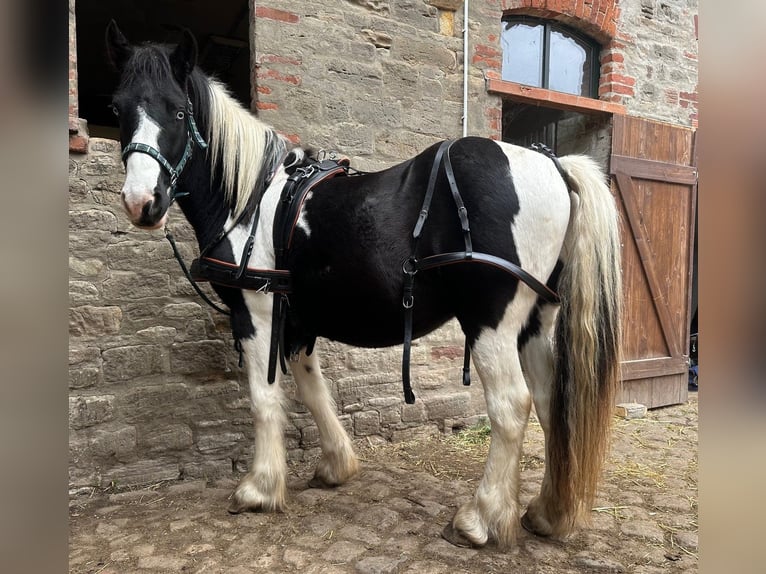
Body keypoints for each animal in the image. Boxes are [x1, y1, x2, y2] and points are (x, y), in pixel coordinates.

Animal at [105, 21, 621, 549]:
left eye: (178, 111)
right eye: (118, 109)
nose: (142, 202)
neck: (249, 199)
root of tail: (554, 166)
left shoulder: (257, 310)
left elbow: (264, 398)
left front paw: (259, 489)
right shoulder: (298, 320)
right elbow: (311, 388)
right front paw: (336, 464)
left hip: (490, 322)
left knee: (511, 406)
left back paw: (480, 519)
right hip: (534, 321)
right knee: (549, 402)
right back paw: (545, 512)